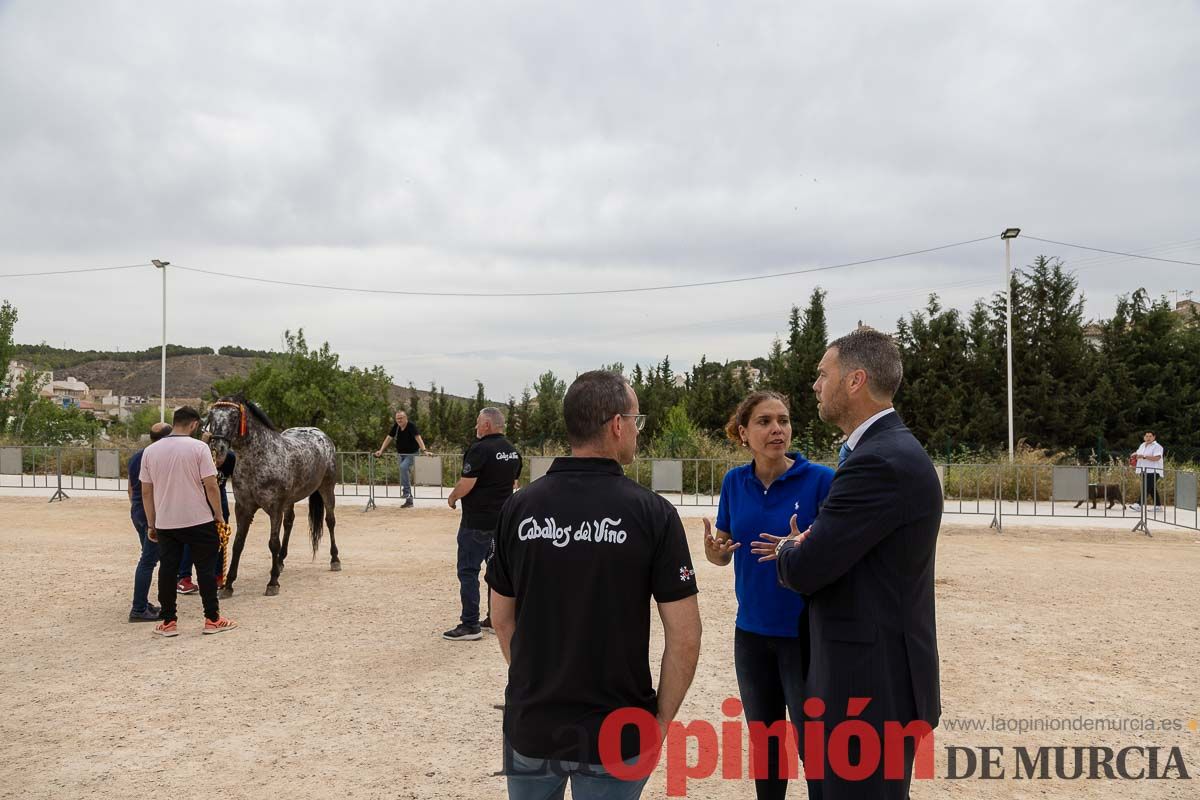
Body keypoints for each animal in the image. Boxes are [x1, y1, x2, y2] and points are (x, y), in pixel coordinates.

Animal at [208, 393, 340, 594]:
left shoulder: (274, 508)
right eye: (211, 415)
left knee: (330, 521)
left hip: (327, 488)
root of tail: (320, 434)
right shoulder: (243, 508)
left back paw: (335, 560)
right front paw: (228, 585)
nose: (218, 449)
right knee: (289, 522)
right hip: (291, 500)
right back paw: (280, 561)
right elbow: (238, 543)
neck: (259, 459)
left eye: (234, 416)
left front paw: (272, 583)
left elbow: (273, 543)